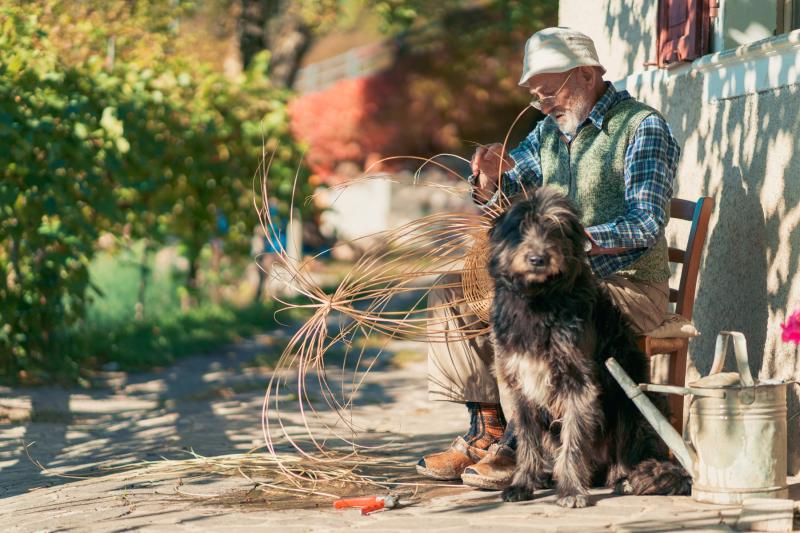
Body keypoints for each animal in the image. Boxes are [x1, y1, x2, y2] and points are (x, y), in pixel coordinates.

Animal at [484, 187, 692, 508]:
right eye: (520, 228)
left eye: (555, 229)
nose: (537, 259)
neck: (540, 297)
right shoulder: (520, 385)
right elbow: (528, 439)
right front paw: (523, 483)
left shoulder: (577, 382)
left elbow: (573, 442)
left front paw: (570, 490)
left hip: (636, 405)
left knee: (637, 456)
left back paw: (626, 479)